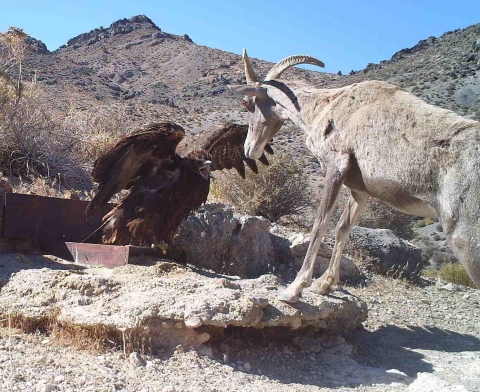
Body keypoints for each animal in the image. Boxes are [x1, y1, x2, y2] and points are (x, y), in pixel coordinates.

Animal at [229, 49, 480, 304]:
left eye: (247, 103)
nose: (250, 149)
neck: (326, 107)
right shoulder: (359, 190)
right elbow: (343, 227)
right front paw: (324, 284)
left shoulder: (336, 167)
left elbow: (320, 224)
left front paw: (294, 289)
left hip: (467, 244)